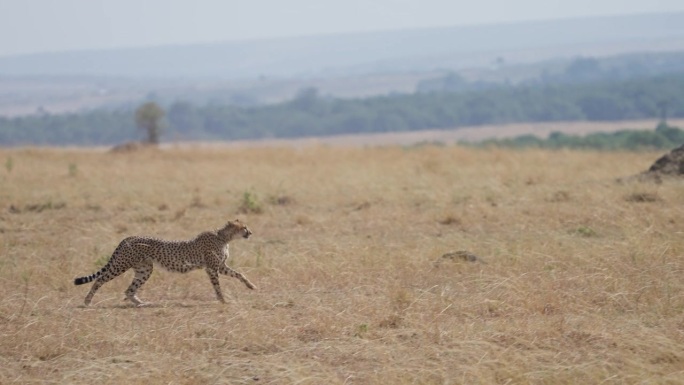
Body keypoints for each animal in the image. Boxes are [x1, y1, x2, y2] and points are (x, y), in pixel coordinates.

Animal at [73, 219, 256, 306]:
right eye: (244, 227)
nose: (251, 232)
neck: (224, 237)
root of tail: (129, 237)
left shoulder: (221, 266)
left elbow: (239, 274)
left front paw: (251, 286)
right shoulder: (212, 268)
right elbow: (217, 286)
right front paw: (223, 300)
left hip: (145, 269)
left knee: (129, 290)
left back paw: (142, 303)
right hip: (121, 265)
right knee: (100, 279)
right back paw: (87, 301)